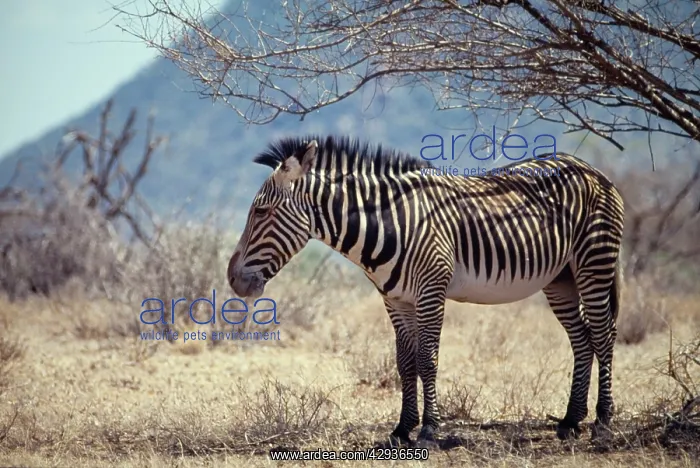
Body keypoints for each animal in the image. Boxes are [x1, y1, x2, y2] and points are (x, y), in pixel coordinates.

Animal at [227, 135, 625, 448]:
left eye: (261, 211)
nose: (232, 279)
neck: (389, 224)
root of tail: (590, 168)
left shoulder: (432, 290)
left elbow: (427, 360)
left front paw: (430, 431)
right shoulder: (396, 300)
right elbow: (405, 363)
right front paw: (401, 429)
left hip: (594, 261)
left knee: (603, 336)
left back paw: (603, 422)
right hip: (560, 279)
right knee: (582, 340)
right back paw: (571, 421)